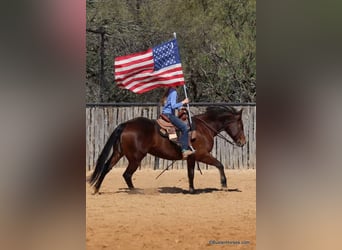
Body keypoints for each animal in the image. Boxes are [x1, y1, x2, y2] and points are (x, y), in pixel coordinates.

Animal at [89, 105, 246, 193]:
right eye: (241, 125)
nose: (243, 142)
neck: (203, 128)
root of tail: (126, 124)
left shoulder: (191, 157)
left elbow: (191, 174)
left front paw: (192, 190)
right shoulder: (202, 155)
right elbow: (220, 164)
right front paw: (224, 185)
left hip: (119, 153)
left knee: (106, 167)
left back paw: (96, 189)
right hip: (135, 158)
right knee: (126, 174)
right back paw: (135, 191)